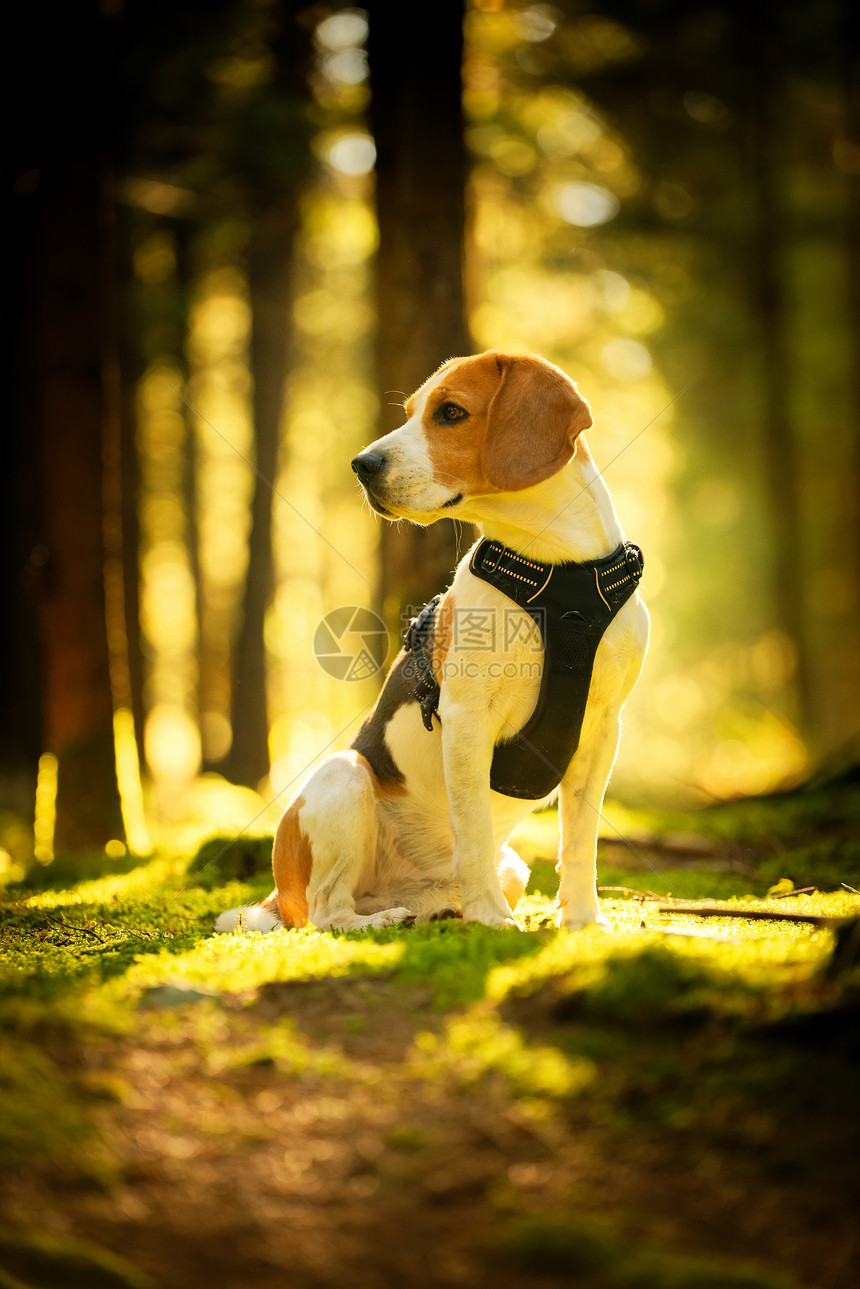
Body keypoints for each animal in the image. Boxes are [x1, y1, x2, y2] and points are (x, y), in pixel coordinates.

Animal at [219, 353, 649, 933]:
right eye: (410, 412)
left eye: (451, 412)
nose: (362, 464)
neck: (557, 570)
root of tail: (275, 896)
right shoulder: (468, 720)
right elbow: (473, 832)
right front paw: (492, 920)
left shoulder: (603, 727)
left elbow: (581, 842)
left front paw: (583, 921)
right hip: (344, 776)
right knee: (327, 911)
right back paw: (383, 921)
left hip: (512, 866)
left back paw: (438, 911)